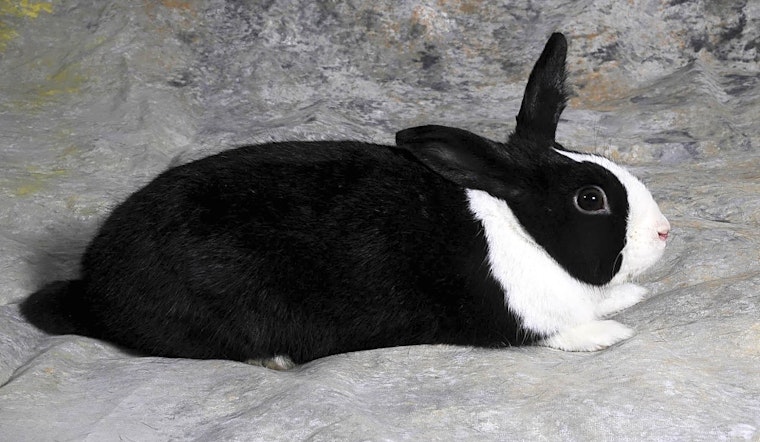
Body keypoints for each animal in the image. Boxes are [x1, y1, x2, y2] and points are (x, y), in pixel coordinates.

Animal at [22, 33, 671, 370]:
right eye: (590, 199)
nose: (664, 233)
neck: (520, 230)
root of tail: (94, 288)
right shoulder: (517, 315)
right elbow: (554, 332)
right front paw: (608, 334)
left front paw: (630, 297)